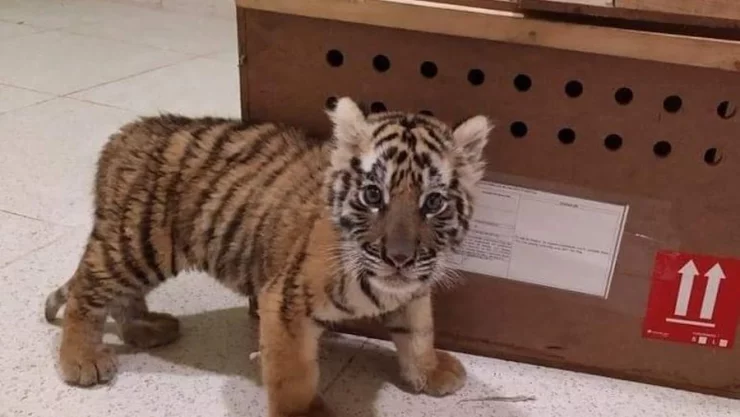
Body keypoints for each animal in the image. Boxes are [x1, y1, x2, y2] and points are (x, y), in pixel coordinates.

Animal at [43, 96, 492, 417]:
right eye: (372, 195)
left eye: (433, 202)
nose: (399, 258)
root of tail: (123, 135)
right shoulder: (285, 301)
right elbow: (293, 373)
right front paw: (305, 415)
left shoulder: (414, 289)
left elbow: (418, 331)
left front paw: (430, 371)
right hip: (138, 245)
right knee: (87, 289)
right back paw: (82, 360)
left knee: (118, 295)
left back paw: (145, 330)